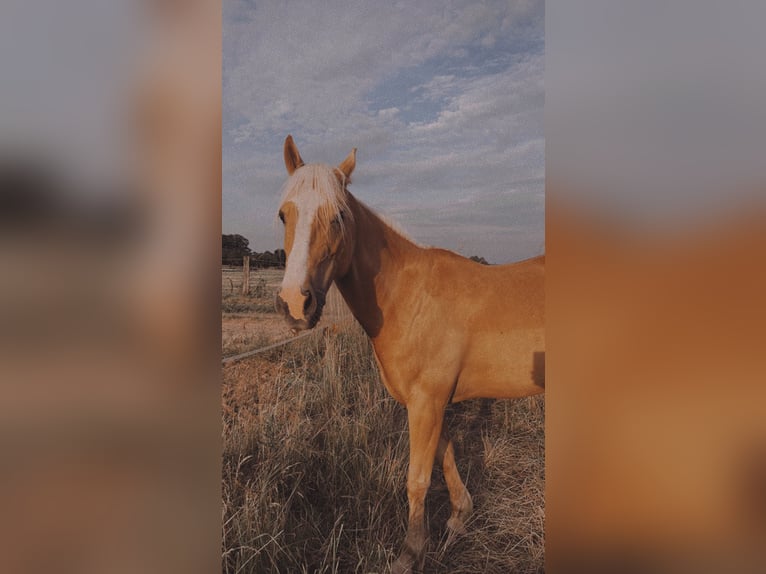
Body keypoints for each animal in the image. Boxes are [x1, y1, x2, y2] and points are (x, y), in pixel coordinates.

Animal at [276, 136, 544, 574]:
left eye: (339, 217)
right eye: (284, 215)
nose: (295, 305)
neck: (409, 297)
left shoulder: (427, 401)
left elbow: (417, 478)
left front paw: (410, 552)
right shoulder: (429, 401)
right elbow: (445, 454)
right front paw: (459, 517)